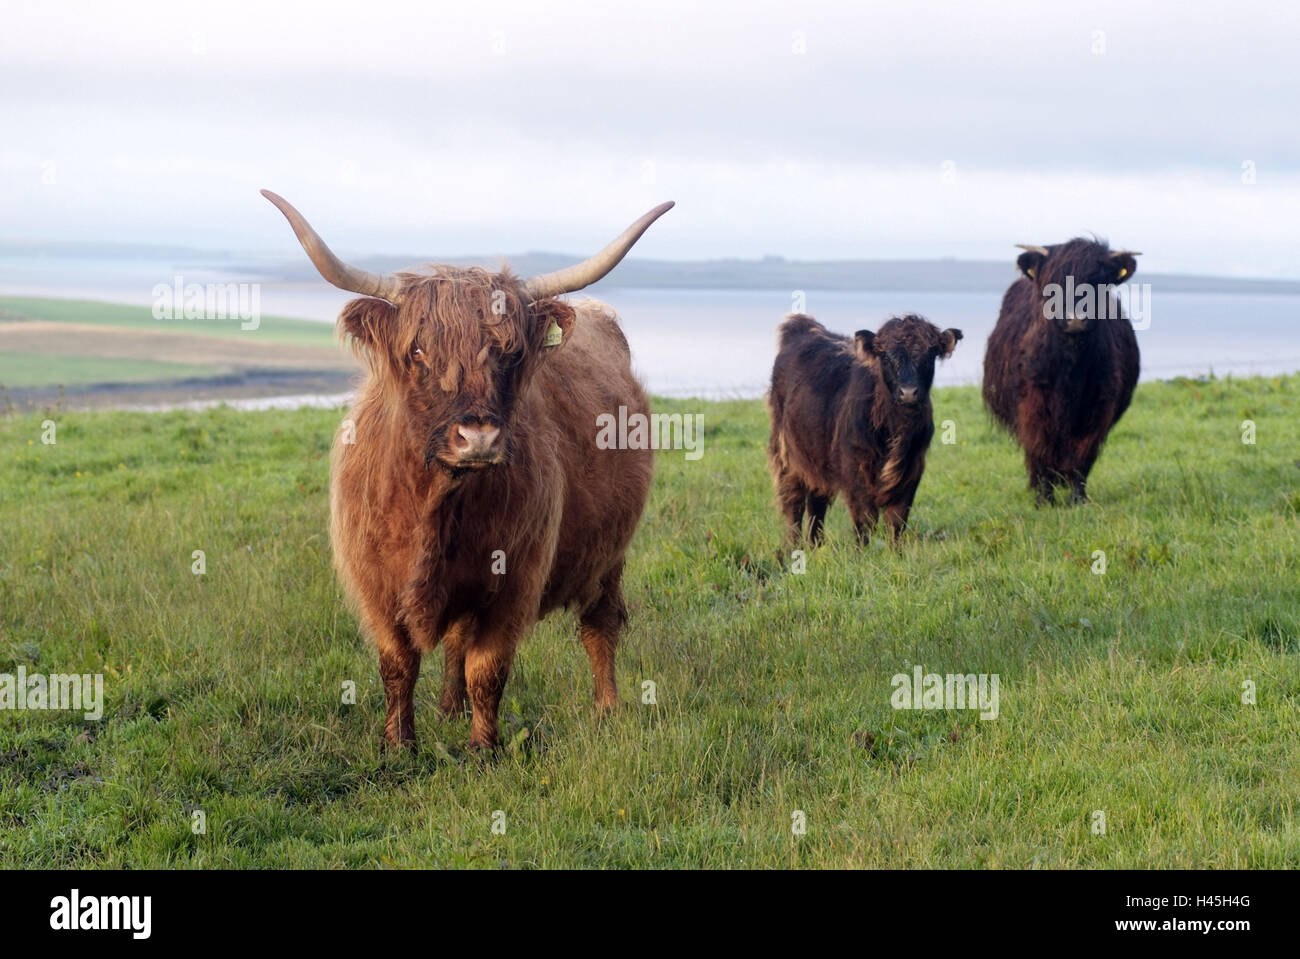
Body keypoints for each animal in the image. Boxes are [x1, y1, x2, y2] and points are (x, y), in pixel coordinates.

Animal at [262, 188, 670, 748]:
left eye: (509, 353)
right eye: (417, 350)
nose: (478, 437)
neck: (434, 504)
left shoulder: (514, 579)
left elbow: (488, 668)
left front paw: (484, 748)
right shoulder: (374, 583)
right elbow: (398, 664)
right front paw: (400, 745)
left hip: (611, 552)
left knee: (600, 622)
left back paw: (607, 709)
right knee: (457, 637)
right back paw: (447, 709)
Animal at [764, 314, 961, 545]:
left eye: (928, 357)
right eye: (885, 357)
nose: (908, 392)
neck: (895, 426)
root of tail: (805, 327)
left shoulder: (912, 468)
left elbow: (897, 519)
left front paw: (896, 552)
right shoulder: (855, 467)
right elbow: (864, 518)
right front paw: (862, 552)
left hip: (816, 456)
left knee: (816, 502)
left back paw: (815, 546)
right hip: (785, 453)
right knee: (793, 503)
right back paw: (793, 547)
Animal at [982, 236, 1138, 504]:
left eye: (1098, 282)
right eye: (1052, 284)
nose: (1074, 319)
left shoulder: (1098, 406)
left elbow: (1082, 455)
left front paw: (1078, 500)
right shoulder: (1033, 406)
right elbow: (1041, 450)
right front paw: (1044, 500)